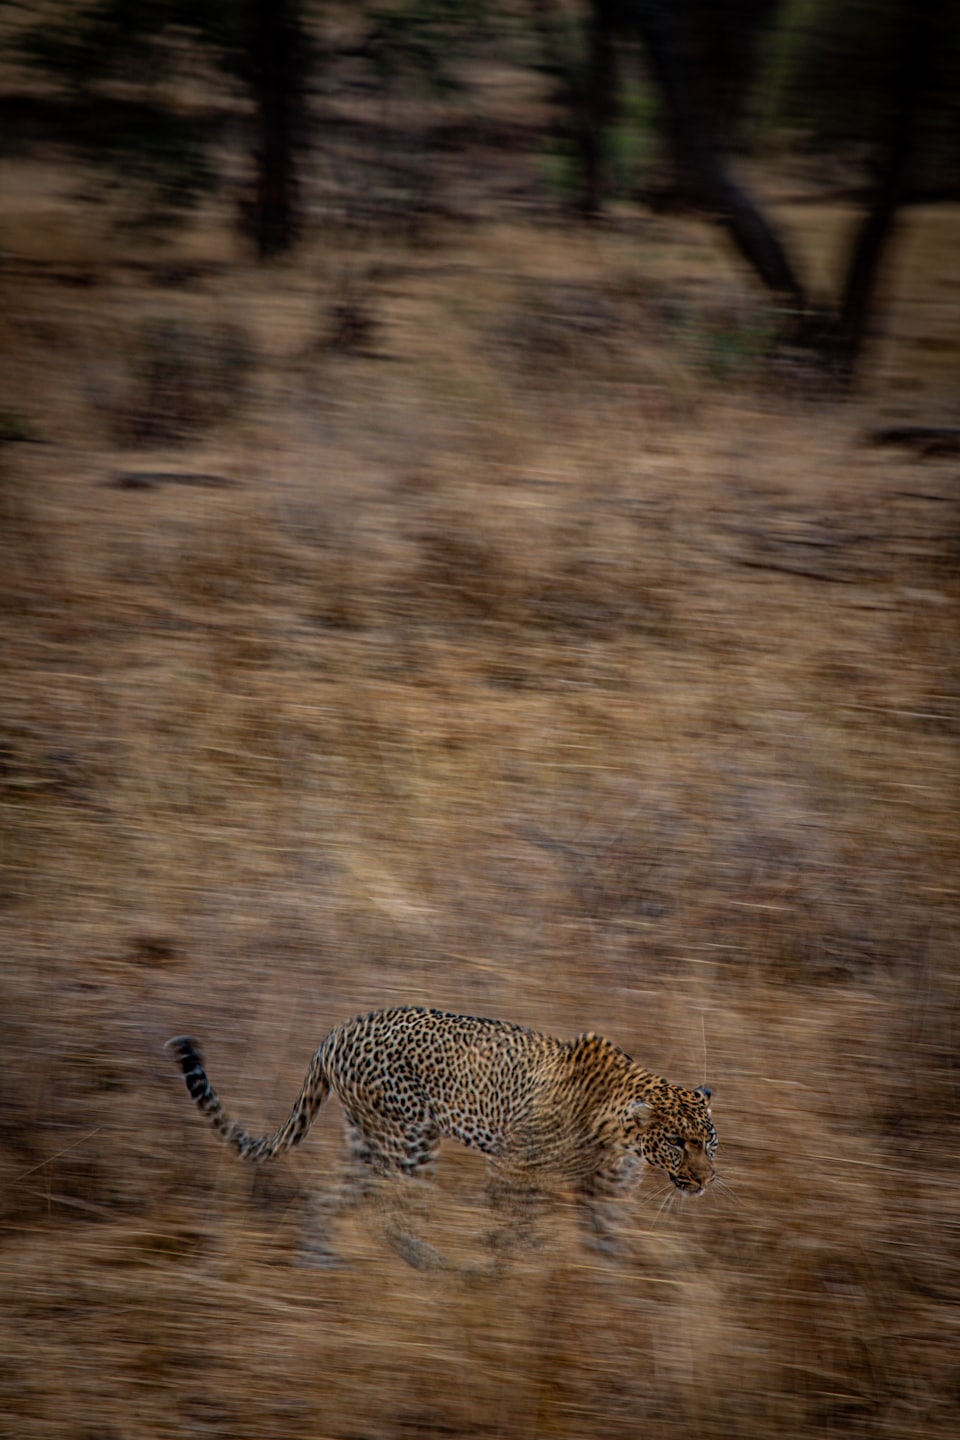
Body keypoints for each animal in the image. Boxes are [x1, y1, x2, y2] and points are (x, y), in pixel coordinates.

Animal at [167, 1005, 717, 1267]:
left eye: (709, 1140)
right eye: (676, 1142)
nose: (706, 1179)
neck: (620, 1134)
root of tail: (336, 1032)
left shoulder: (606, 1196)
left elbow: (608, 1247)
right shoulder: (514, 1167)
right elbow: (510, 1233)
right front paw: (504, 1278)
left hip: (368, 1141)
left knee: (329, 1196)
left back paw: (319, 1260)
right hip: (410, 1138)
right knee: (389, 1212)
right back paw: (433, 1267)